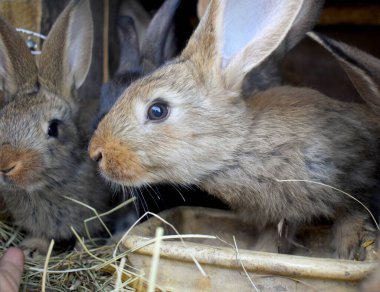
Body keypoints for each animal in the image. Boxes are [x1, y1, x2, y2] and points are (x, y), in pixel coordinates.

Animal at [90, 0, 380, 258]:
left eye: (157, 110)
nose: (96, 153)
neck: (240, 146)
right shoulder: (278, 215)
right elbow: (273, 237)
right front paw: (263, 252)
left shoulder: (358, 176)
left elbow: (352, 213)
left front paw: (346, 251)